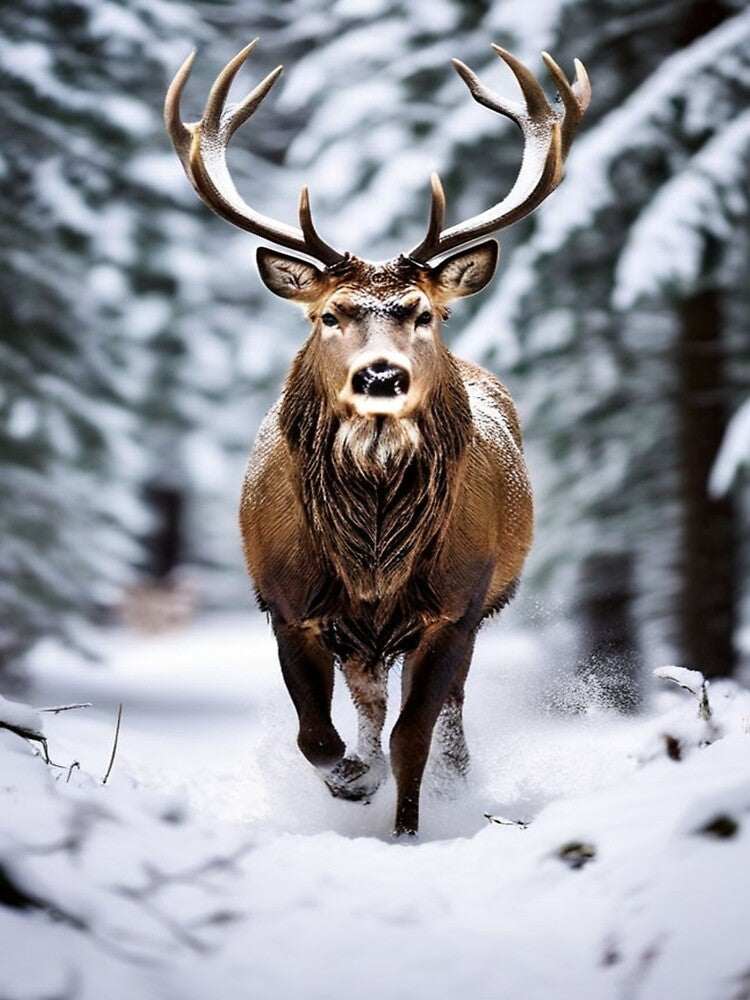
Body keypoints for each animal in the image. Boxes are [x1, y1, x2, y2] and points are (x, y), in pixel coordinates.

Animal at [165, 40, 590, 837]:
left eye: (425, 312)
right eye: (329, 314)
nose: (382, 376)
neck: (371, 558)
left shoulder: (456, 604)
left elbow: (413, 735)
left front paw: (407, 826)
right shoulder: (288, 604)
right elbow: (317, 736)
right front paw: (353, 782)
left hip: (473, 609)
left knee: (442, 711)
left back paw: (450, 779)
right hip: (360, 638)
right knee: (365, 700)